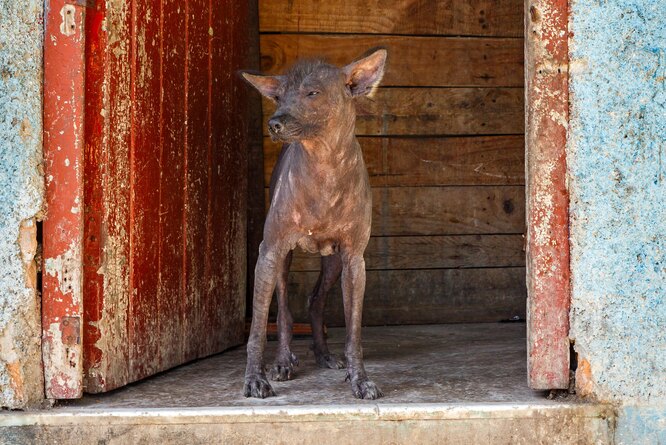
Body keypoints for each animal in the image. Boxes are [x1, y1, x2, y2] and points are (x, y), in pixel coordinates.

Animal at [240, 48, 384, 398]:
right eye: (278, 96)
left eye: (312, 93)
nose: (274, 123)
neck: (324, 166)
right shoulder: (269, 251)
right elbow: (258, 329)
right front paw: (255, 378)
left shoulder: (354, 260)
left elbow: (354, 333)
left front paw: (359, 378)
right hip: (280, 260)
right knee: (284, 312)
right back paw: (283, 361)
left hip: (333, 263)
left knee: (315, 300)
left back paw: (323, 354)